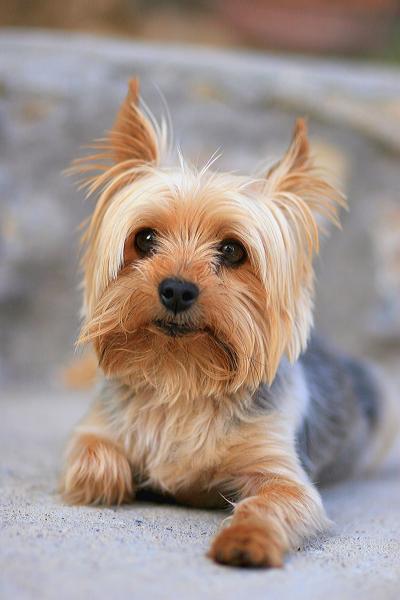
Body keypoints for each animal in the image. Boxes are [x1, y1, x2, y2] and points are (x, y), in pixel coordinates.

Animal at [61, 78, 396, 568]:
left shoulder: (279, 469)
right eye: (144, 238)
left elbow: (275, 501)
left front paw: (247, 540)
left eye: (233, 250)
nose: (177, 289)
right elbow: (94, 466)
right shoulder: (98, 430)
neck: (182, 377)